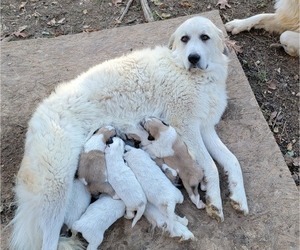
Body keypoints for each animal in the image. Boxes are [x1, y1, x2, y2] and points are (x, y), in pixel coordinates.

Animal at [9, 16, 248, 250]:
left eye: (205, 37)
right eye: (185, 39)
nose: (193, 58)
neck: (191, 73)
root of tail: (37, 117)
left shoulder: (205, 127)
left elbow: (232, 160)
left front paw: (239, 198)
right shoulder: (187, 125)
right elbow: (211, 165)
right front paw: (215, 202)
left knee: (148, 207)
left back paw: (177, 229)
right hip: (56, 189)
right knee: (48, 241)